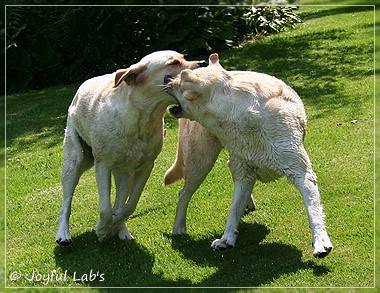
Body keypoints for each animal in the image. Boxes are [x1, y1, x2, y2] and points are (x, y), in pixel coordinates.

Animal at [55, 49, 206, 244]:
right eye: (174, 63)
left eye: (184, 57)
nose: (203, 63)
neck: (143, 117)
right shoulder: (102, 164)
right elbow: (105, 209)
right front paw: (102, 229)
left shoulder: (146, 166)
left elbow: (130, 205)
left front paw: (114, 224)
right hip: (75, 162)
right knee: (66, 203)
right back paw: (63, 234)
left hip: (123, 172)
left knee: (121, 198)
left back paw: (121, 229)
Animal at [163, 53, 332, 256]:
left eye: (181, 79)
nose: (166, 78)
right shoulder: (243, 171)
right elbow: (233, 211)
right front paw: (226, 239)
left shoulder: (302, 174)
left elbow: (313, 210)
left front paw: (321, 241)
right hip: (201, 162)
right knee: (183, 194)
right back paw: (178, 228)